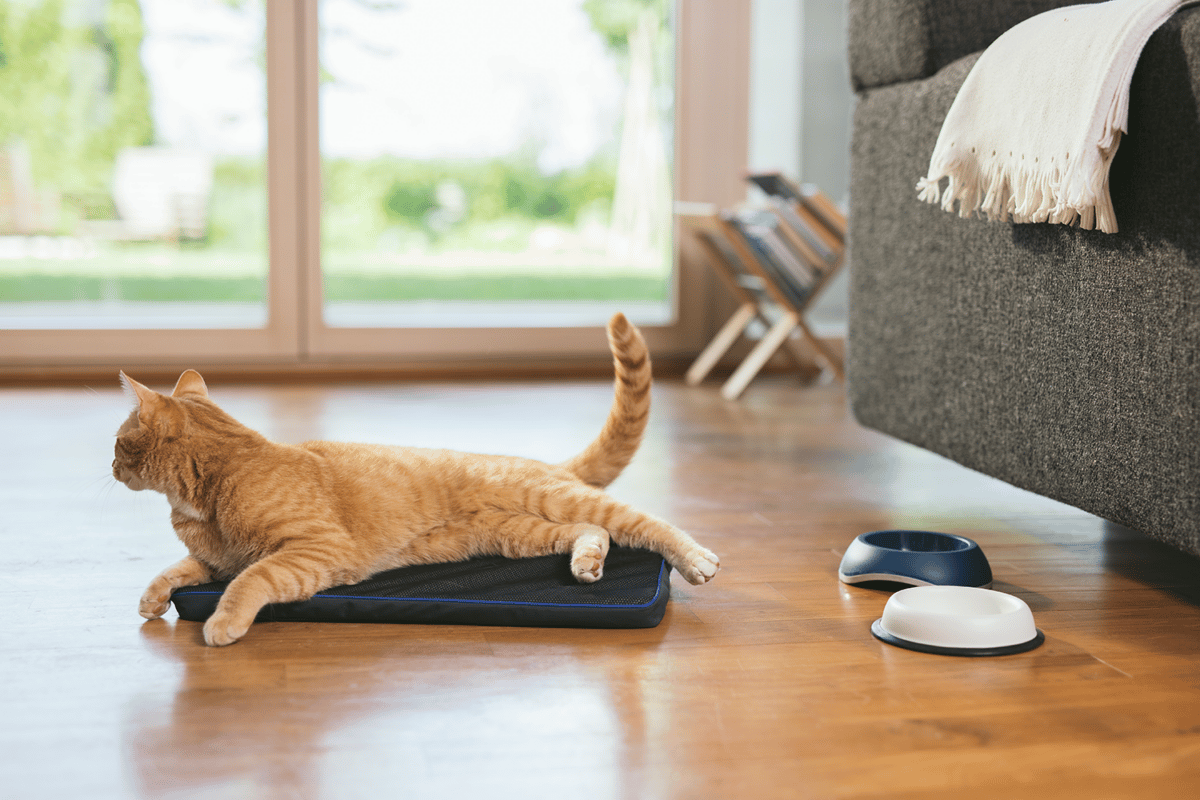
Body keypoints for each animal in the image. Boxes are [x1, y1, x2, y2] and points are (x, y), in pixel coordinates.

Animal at [119, 311, 720, 642]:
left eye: (119, 443)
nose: (110, 465)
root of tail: (541, 463)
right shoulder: (217, 557)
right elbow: (178, 569)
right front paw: (152, 598)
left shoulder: (314, 551)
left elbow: (249, 582)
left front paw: (222, 623)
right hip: (519, 535)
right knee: (592, 535)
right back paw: (587, 565)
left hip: (560, 503)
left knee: (646, 525)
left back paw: (697, 560)